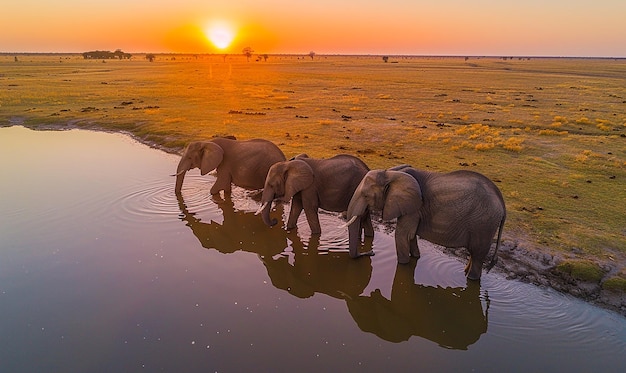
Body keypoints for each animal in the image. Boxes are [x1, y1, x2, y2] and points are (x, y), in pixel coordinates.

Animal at [344, 166, 504, 280]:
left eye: (365, 195)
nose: (370, 252)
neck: (391, 173)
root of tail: (502, 203)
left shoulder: (413, 207)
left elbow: (402, 235)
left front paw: (403, 264)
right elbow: (410, 235)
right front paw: (416, 257)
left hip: (483, 223)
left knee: (477, 254)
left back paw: (471, 278)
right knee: (474, 253)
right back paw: (464, 272)